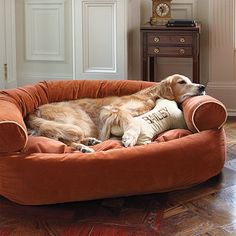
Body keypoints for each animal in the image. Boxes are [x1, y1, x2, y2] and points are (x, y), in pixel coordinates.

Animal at [26, 74, 206, 153]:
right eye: (182, 82)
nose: (202, 87)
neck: (149, 96)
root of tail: (34, 111)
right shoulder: (112, 109)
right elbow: (132, 122)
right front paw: (129, 138)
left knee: (59, 139)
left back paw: (87, 144)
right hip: (80, 122)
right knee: (60, 139)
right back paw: (84, 146)